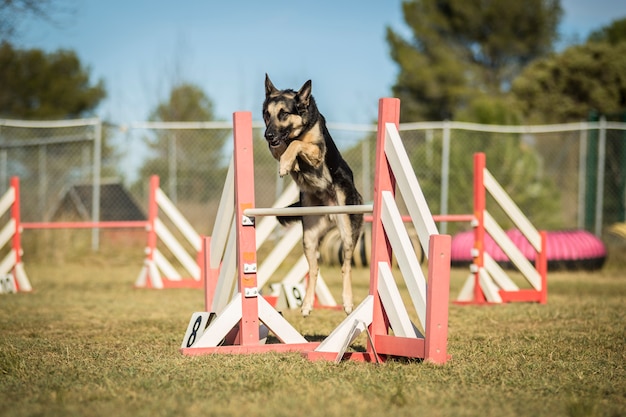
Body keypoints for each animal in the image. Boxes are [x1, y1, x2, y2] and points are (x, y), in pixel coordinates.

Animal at [260, 75, 364, 316]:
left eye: (283, 114)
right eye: (267, 114)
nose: (268, 135)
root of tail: (330, 211)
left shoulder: (316, 151)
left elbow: (297, 144)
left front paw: (287, 163)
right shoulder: (276, 146)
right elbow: (281, 149)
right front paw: (288, 163)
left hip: (347, 232)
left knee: (346, 267)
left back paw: (347, 302)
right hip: (308, 239)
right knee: (314, 270)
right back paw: (307, 304)